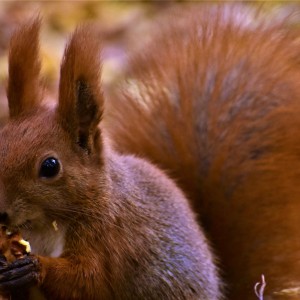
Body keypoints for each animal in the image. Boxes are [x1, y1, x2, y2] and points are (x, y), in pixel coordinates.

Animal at [0, 17, 223, 298]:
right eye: (0, 143)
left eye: (50, 166)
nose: (0, 213)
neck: (48, 224)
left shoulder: (108, 238)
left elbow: (89, 281)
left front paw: (35, 267)